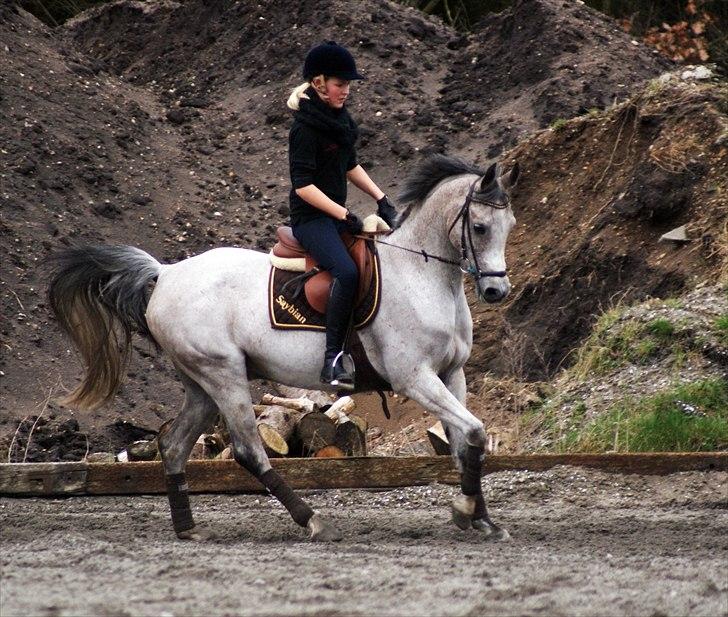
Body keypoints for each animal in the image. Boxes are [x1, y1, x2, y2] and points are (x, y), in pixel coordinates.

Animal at [49, 153, 516, 540]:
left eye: (508, 226)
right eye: (479, 227)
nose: (497, 291)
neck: (422, 274)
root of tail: (165, 273)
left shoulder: (451, 375)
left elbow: (465, 444)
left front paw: (481, 519)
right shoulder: (415, 378)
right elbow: (474, 431)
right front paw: (466, 510)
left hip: (201, 384)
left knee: (175, 446)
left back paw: (187, 528)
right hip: (224, 375)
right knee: (249, 451)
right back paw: (312, 521)